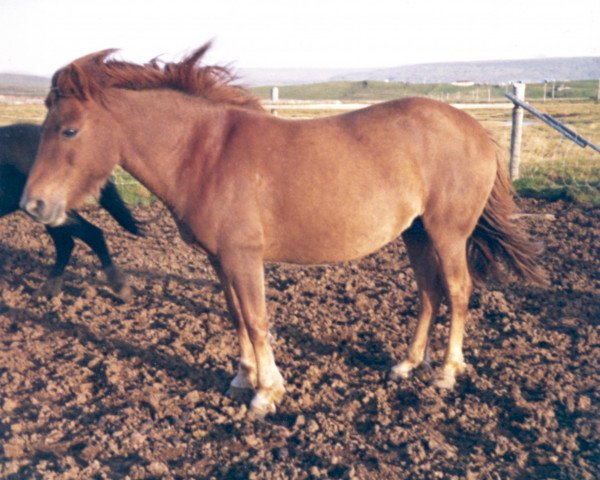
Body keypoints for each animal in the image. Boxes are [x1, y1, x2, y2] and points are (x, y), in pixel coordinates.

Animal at [19, 44, 544, 416]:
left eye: (69, 130)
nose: (32, 204)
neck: (205, 152)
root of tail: (475, 130)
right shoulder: (221, 259)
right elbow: (235, 315)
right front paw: (242, 378)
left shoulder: (243, 256)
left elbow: (256, 319)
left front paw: (266, 392)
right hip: (416, 234)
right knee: (429, 293)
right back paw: (407, 364)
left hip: (447, 234)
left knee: (457, 291)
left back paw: (447, 373)